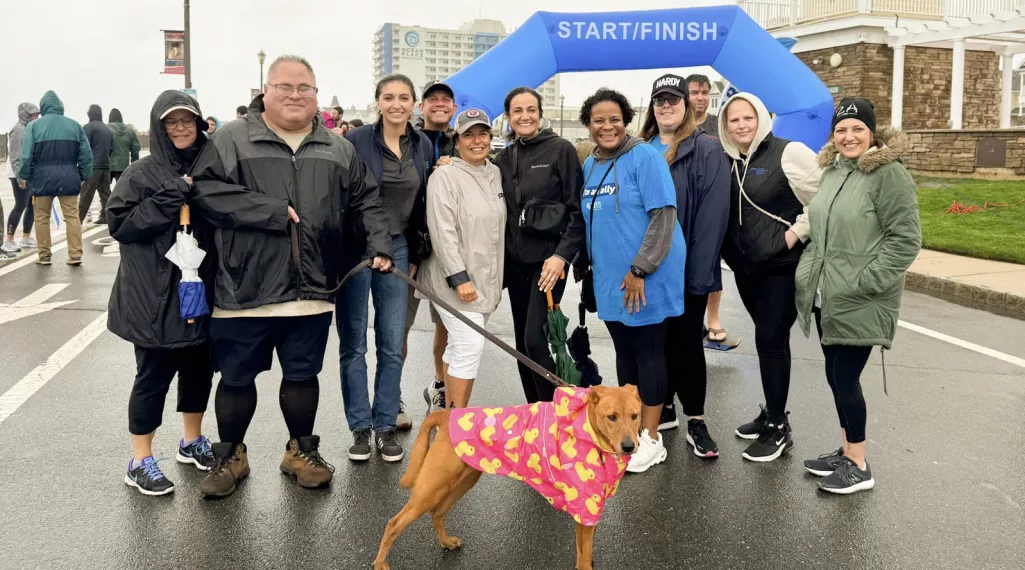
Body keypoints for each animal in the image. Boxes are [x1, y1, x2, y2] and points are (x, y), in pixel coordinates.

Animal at [373, 383, 635, 570]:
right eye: (612, 417)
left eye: (634, 416)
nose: (629, 446)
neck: (587, 430)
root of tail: (446, 416)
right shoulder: (583, 507)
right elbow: (583, 557)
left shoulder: (589, 510)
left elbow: (585, 552)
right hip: (430, 487)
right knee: (394, 523)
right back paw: (380, 563)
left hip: (463, 480)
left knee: (437, 513)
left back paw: (446, 542)